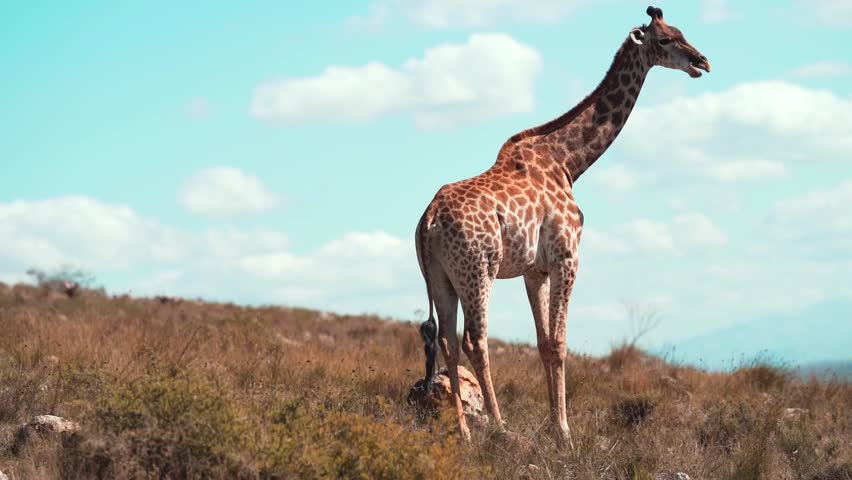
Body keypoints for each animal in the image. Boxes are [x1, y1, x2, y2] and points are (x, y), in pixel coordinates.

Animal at [414, 6, 710, 449]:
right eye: (665, 40)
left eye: (681, 31)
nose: (701, 62)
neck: (570, 162)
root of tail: (428, 219)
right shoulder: (567, 256)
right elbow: (560, 343)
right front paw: (565, 434)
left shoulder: (534, 269)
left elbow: (543, 343)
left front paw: (556, 426)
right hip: (477, 268)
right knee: (474, 339)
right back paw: (500, 426)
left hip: (439, 276)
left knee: (447, 339)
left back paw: (464, 431)